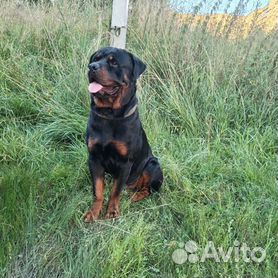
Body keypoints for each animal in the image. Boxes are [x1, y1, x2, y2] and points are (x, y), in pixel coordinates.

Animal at [84, 47, 163, 222]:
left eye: (114, 62)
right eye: (95, 59)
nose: (92, 67)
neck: (110, 115)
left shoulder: (125, 162)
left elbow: (115, 191)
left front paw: (112, 211)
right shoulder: (94, 158)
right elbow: (98, 189)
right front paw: (94, 211)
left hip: (153, 165)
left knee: (148, 190)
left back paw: (136, 196)